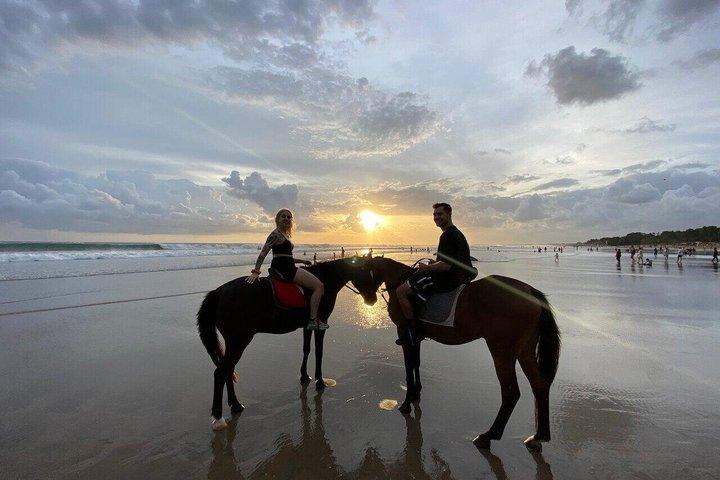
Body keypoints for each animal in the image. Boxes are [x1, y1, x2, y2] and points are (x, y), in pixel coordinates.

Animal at [197, 255, 377, 430]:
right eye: (366, 273)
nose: (373, 300)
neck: (325, 279)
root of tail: (219, 291)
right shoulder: (321, 324)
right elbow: (319, 351)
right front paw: (319, 381)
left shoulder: (307, 325)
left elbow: (306, 349)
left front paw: (304, 376)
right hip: (238, 341)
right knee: (221, 373)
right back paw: (218, 417)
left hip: (233, 342)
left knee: (228, 370)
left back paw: (235, 405)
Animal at [365, 256, 561, 452]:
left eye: (364, 270)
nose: (369, 300)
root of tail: (530, 291)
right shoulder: (415, 339)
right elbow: (416, 363)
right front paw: (416, 395)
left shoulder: (404, 334)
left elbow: (408, 367)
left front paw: (407, 403)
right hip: (525, 350)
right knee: (539, 385)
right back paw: (538, 437)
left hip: (502, 351)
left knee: (511, 392)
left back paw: (488, 435)